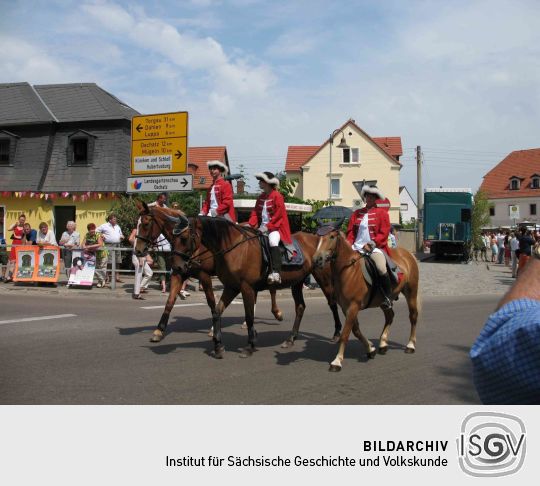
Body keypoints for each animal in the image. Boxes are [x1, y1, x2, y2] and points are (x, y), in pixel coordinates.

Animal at [133, 201, 284, 342]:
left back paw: (276, 312)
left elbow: (212, 302)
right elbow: (170, 301)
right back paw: (249, 322)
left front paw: (214, 328)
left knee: (270, 288)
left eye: (145, 223)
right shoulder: (178, 273)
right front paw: (159, 331)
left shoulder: (204, 275)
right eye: (137, 223)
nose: (138, 251)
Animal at [165, 215, 342, 358]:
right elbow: (217, 311)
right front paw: (218, 346)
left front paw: (249, 346)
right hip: (297, 283)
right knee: (300, 307)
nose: (177, 267)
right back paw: (290, 339)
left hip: (323, 278)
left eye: (184, 237)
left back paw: (337, 333)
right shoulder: (231, 287)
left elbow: (249, 316)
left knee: (332, 303)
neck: (234, 248)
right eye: (173, 239)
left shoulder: (247, 288)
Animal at [312, 228, 422, 372]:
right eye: (317, 237)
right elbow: (356, 331)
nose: (316, 259)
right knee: (390, 316)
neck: (348, 270)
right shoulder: (346, 308)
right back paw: (383, 343)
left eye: (331, 236)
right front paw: (370, 349)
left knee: (413, 316)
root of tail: (407, 254)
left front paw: (337, 361)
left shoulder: (353, 306)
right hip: (383, 301)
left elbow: (345, 334)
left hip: (411, 292)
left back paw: (410, 345)